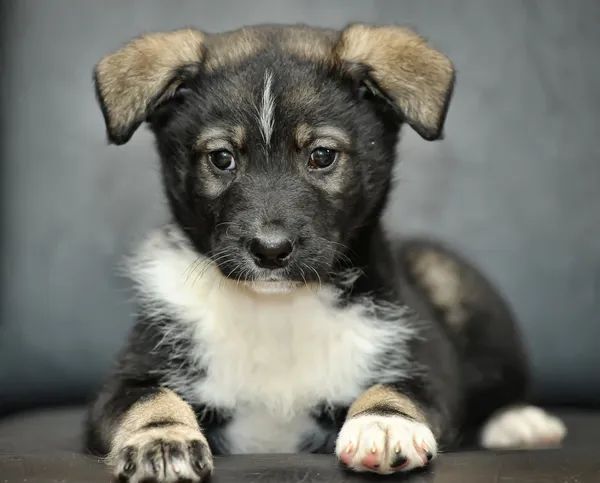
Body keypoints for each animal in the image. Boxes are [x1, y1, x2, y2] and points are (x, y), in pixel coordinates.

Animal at [85, 23, 568, 483]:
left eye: (322, 156)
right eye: (221, 158)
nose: (270, 251)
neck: (277, 311)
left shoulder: (430, 370)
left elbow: (397, 388)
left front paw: (384, 423)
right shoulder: (123, 381)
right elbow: (149, 398)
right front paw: (161, 440)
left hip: (450, 278)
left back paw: (518, 422)